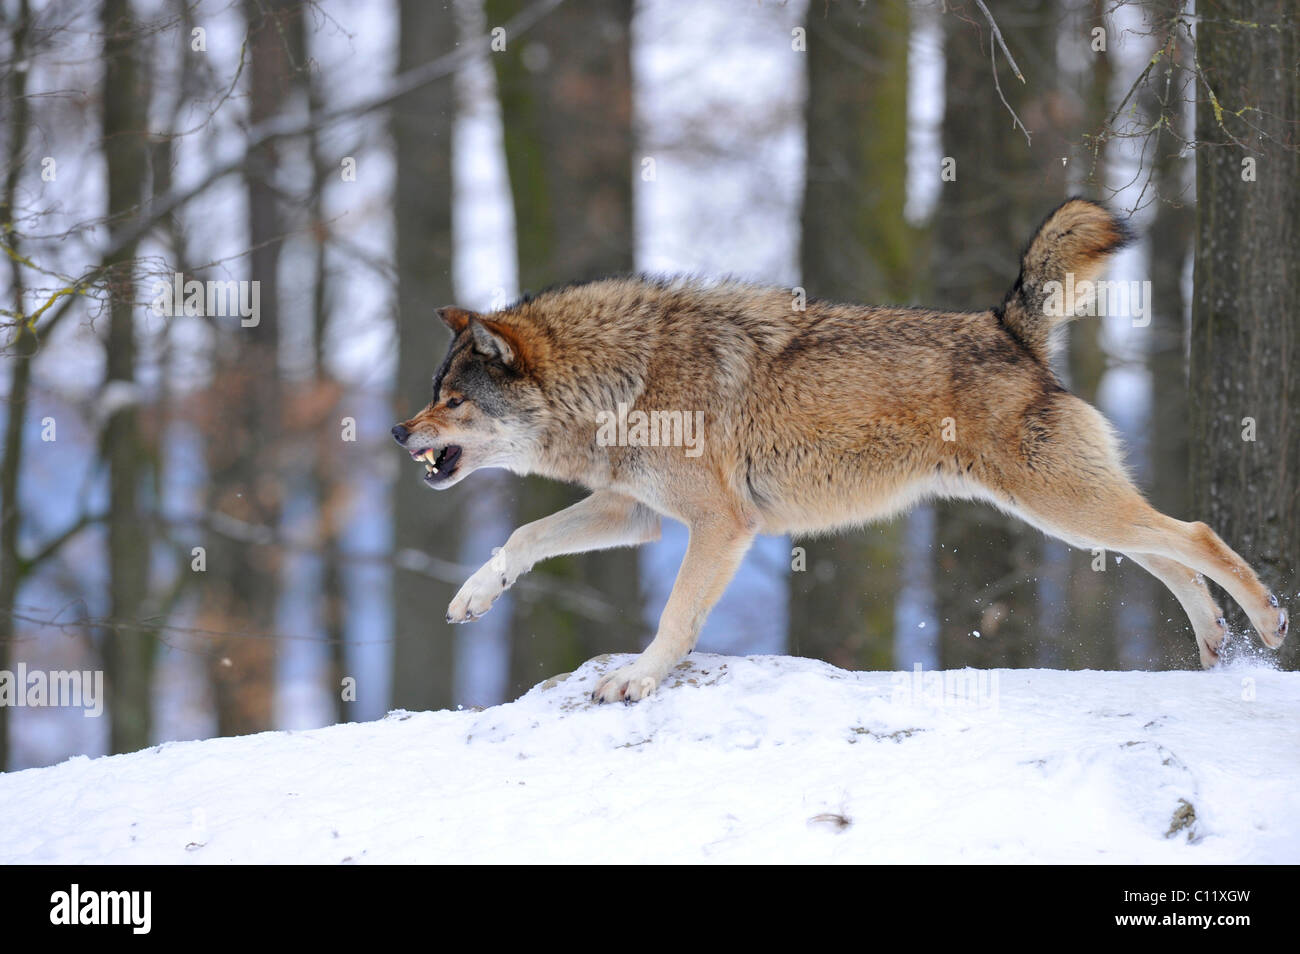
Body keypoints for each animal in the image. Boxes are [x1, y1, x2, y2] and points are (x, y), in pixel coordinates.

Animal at [392, 199, 1287, 702]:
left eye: (453, 400)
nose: (399, 432)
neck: (622, 381)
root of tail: (1008, 326)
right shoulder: (635, 512)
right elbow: (522, 537)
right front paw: (472, 597)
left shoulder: (720, 526)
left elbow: (677, 617)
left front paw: (638, 679)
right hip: (1069, 516)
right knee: (1169, 553)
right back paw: (1215, 644)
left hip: (1061, 506)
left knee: (1196, 535)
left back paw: (1270, 622)